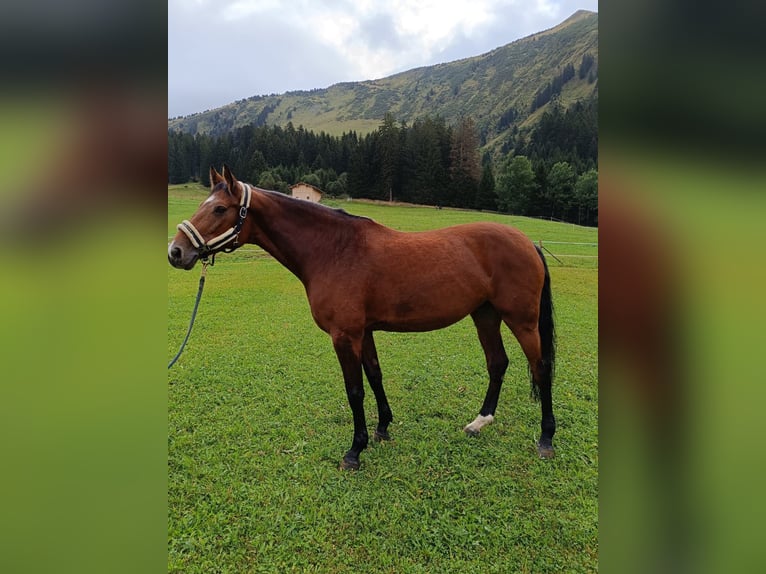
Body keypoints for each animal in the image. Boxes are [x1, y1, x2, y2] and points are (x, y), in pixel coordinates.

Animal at [168, 166, 556, 472]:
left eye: (219, 208)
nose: (176, 252)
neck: (334, 250)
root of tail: (528, 243)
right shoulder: (364, 332)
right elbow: (375, 376)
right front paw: (383, 428)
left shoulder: (345, 335)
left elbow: (354, 390)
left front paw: (355, 450)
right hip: (485, 315)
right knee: (498, 363)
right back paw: (480, 421)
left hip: (522, 320)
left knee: (540, 368)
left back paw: (546, 438)